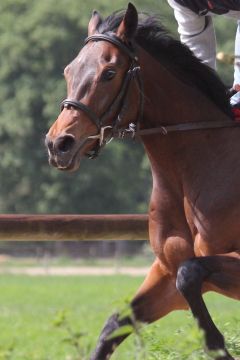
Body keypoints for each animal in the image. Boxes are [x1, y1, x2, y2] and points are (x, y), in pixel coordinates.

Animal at [45, 3, 240, 360]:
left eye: (109, 73)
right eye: (69, 70)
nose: (58, 144)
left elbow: (190, 275)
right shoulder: (165, 272)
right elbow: (114, 325)